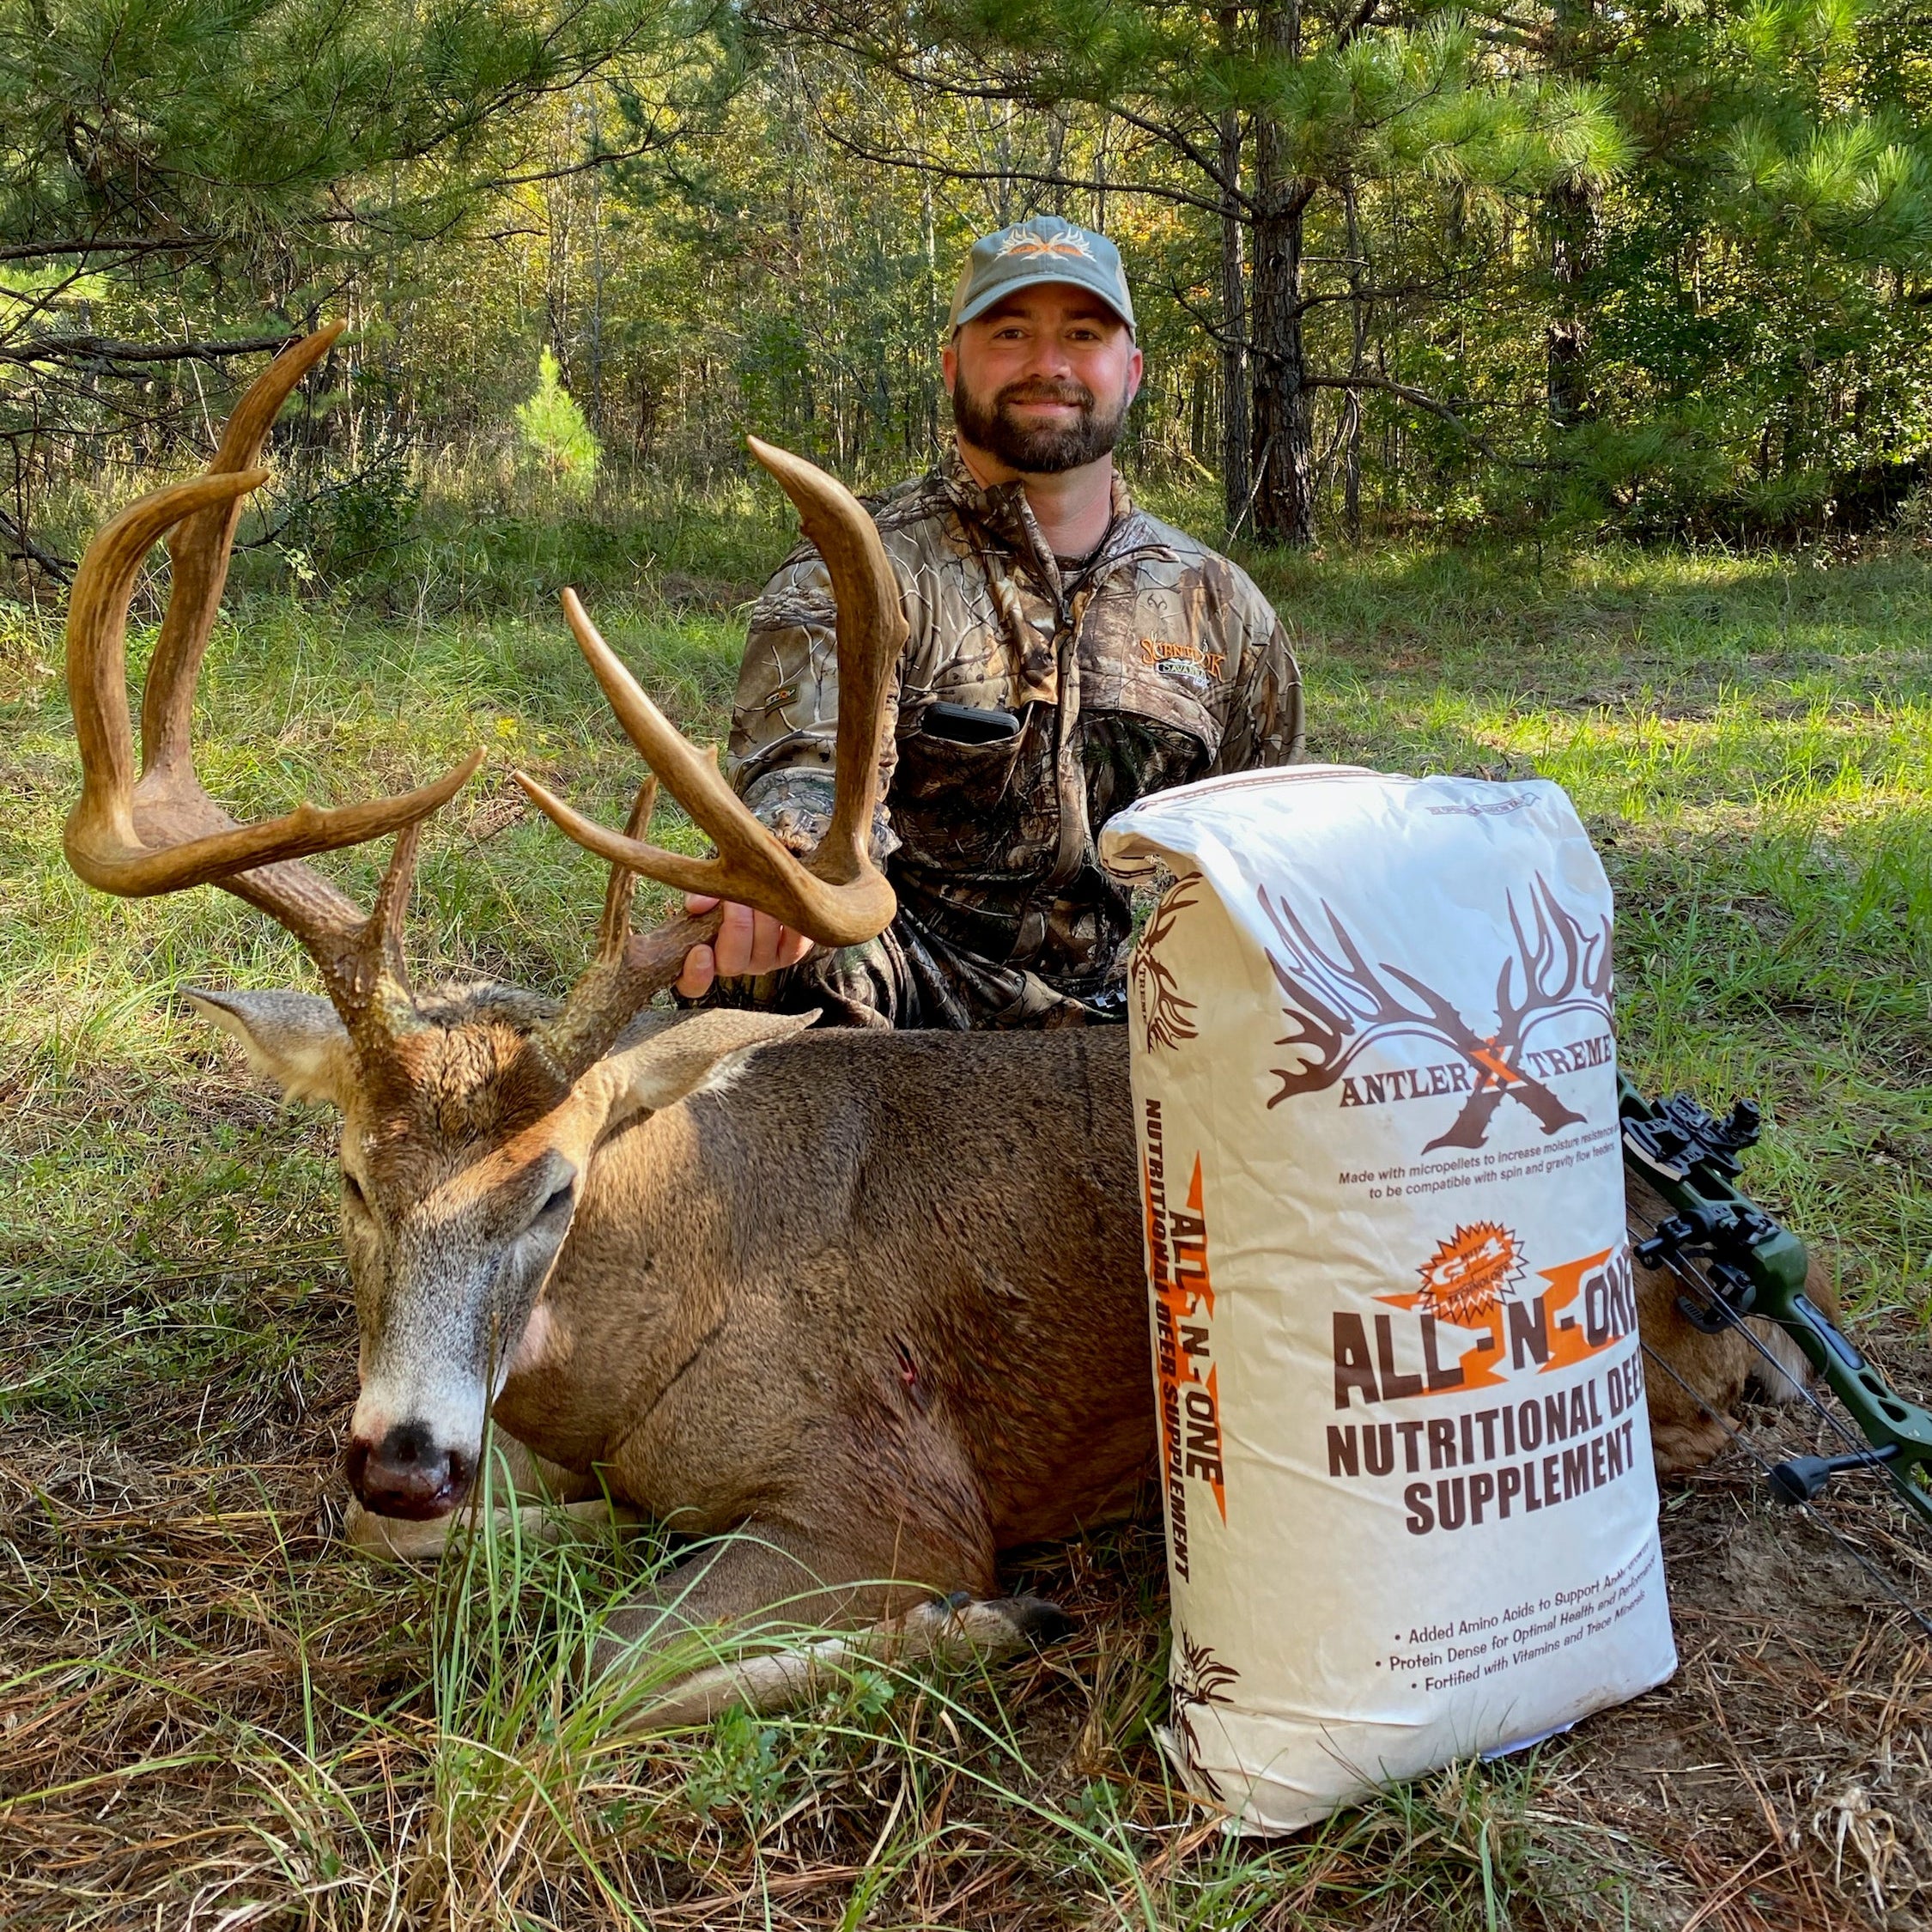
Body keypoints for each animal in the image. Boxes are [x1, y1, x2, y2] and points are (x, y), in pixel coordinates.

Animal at [62, 326, 1819, 1726]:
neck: (652, 1298)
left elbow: (574, 1691)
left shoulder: (883, 1484)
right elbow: (411, 1548)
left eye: (552, 1190)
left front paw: (979, 1622)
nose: (407, 1451)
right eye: (350, 1181)